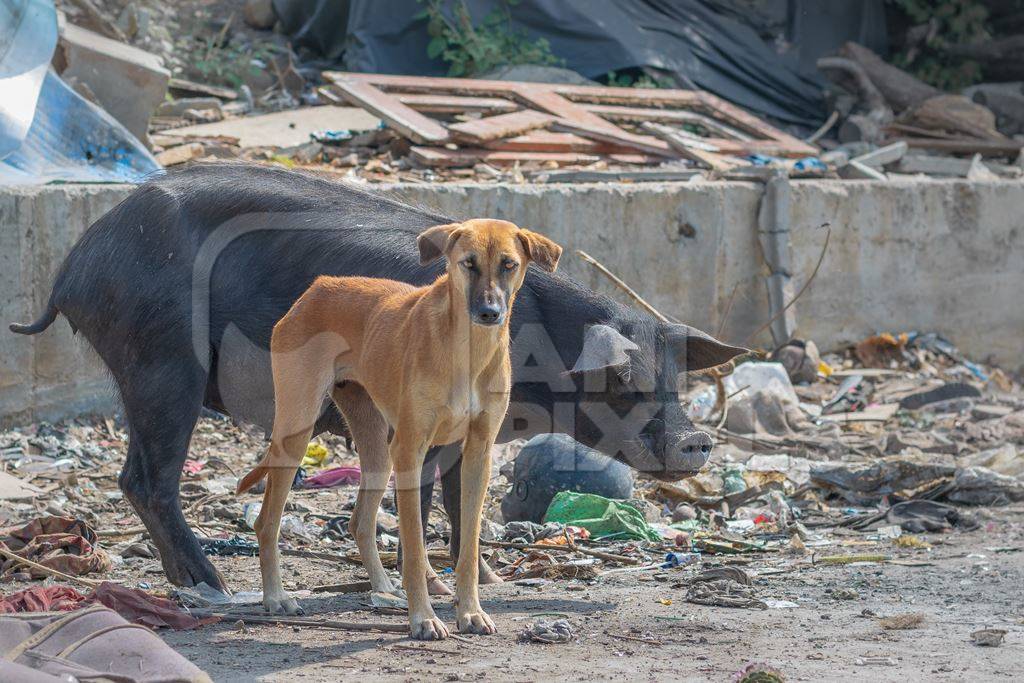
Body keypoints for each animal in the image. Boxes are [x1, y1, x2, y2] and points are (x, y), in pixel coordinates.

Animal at [236, 219, 565, 643]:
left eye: (508, 264)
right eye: (468, 263)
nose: (489, 312)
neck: (467, 351)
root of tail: (318, 287)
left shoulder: (477, 453)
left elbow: (467, 548)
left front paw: (470, 611)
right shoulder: (411, 451)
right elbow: (414, 549)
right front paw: (423, 618)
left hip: (377, 451)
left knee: (360, 522)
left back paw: (383, 590)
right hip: (297, 433)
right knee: (267, 523)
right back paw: (277, 598)